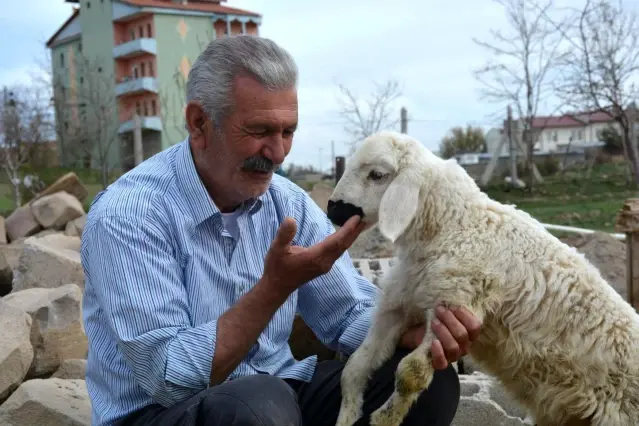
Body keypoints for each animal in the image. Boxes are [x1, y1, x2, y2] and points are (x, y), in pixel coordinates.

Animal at [328, 131, 639, 426]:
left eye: (377, 175)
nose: (332, 210)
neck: (456, 225)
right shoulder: (401, 304)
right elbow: (354, 367)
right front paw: (347, 416)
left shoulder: (454, 302)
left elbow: (410, 373)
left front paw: (386, 418)